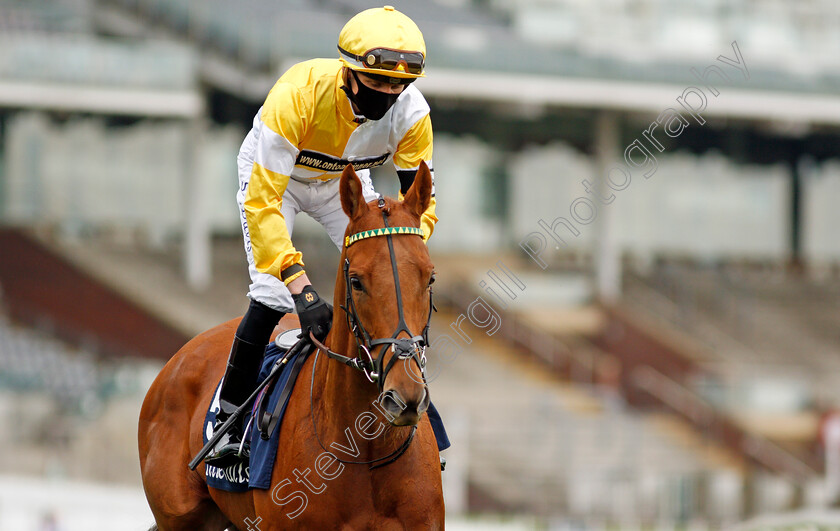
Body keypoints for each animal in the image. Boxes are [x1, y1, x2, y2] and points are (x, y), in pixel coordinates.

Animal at [138, 164, 442, 528]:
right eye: (356, 282)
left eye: (429, 277)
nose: (405, 397)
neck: (364, 450)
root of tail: (174, 363)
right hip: (182, 518)